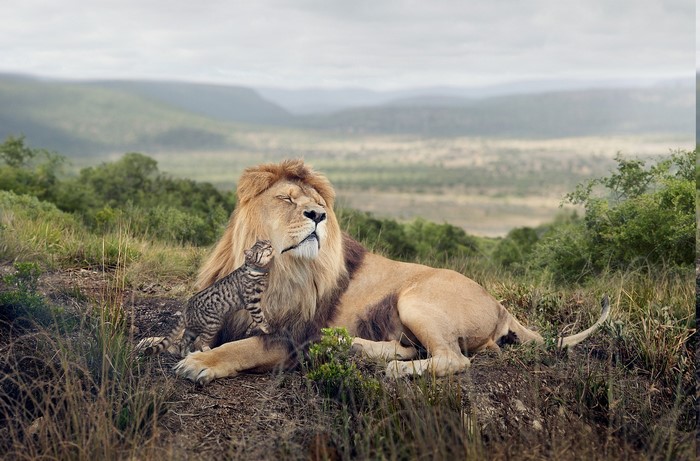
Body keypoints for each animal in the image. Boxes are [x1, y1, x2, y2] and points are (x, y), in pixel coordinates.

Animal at [171, 159, 610, 384]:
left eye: (317, 204)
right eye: (286, 199)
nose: (318, 216)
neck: (278, 267)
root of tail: (501, 305)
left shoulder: (292, 337)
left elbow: (243, 347)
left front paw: (201, 363)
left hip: (415, 299)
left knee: (453, 358)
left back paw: (397, 369)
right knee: (417, 347)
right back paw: (356, 348)